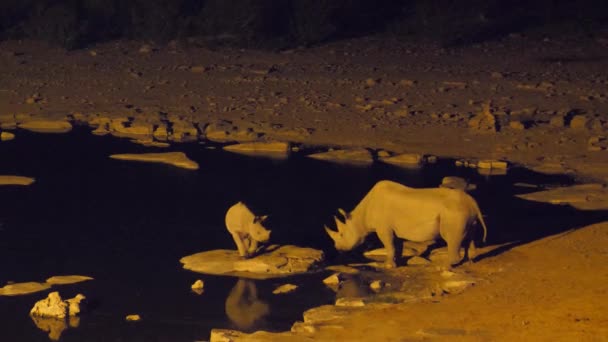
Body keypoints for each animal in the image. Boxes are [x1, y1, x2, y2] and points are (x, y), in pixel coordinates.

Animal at [326, 180, 486, 268]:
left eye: (341, 234)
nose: (337, 248)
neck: (361, 215)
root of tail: (473, 203)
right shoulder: (394, 229)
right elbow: (397, 246)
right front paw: (397, 262)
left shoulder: (384, 229)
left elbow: (389, 245)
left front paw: (388, 266)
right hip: (465, 213)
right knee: (469, 236)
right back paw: (468, 262)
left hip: (453, 213)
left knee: (451, 239)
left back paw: (445, 266)